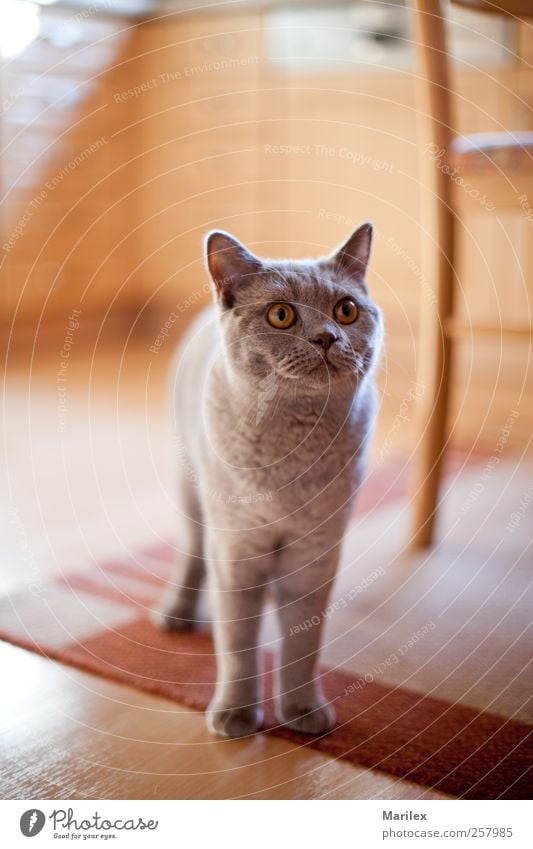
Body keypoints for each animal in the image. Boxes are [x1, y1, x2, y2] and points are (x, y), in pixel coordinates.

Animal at [152, 225, 380, 736]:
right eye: (281, 315)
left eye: (346, 310)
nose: (327, 337)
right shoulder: (237, 552)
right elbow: (239, 645)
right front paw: (236, 716)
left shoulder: (314, 553)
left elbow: (302, 645)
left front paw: (303, 711)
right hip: (192, 495)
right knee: (192, 553)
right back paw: (176, 614)